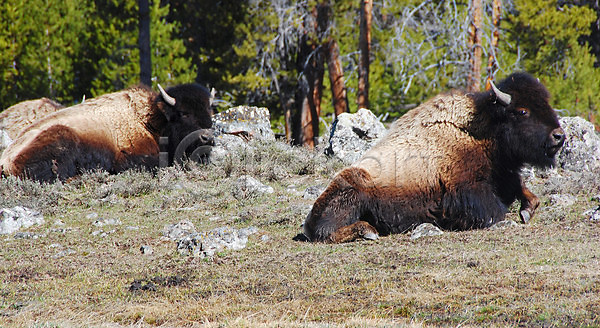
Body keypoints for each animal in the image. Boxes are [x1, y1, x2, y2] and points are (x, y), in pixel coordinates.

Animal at [304, 73, 568, 242]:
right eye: (522, 111)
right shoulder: (468, 192)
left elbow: (524, 191)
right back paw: (367, 231)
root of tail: (310, 218)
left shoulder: (504, 175)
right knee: (326, 232)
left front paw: (527, 209)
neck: (480, 131)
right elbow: (496, 212)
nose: (559, 135)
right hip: (352, 193)